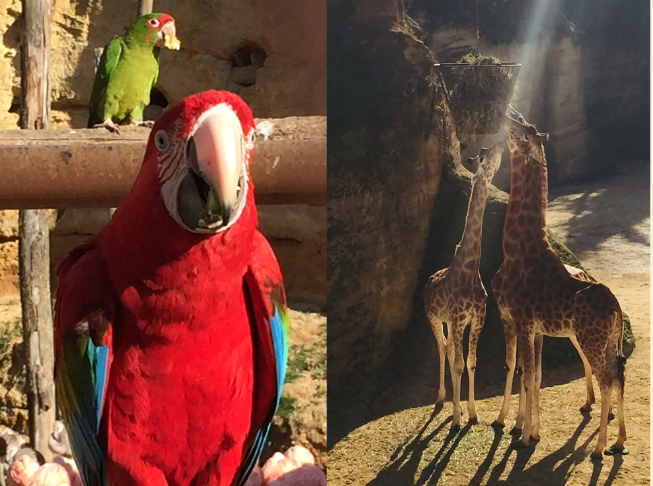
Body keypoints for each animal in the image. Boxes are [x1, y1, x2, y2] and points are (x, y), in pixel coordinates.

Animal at [422, 140, 504, 430]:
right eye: (482, 155)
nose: (499, 144)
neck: (469, 268)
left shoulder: (477, 317)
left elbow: (470, 362)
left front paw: (471, 413)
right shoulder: (458, 318)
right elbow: (458, 364)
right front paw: (457, 418)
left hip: (448, 321)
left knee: (449, 349)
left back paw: (450, 402)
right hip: (434, 318)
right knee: (442, 347)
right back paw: (441, 399)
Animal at [488, 107, 628, 460]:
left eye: (524, 127)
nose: (508, 112)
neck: (516, 248)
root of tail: (617, 310)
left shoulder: (520, 320)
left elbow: (524, 375)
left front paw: (522, 436)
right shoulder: (531, 327)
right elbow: (533, 375)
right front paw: (528, 430)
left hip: (589, 339)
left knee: (607, 379)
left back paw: (599, 448)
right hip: (607, 342)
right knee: (618, 376)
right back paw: (619, 442)